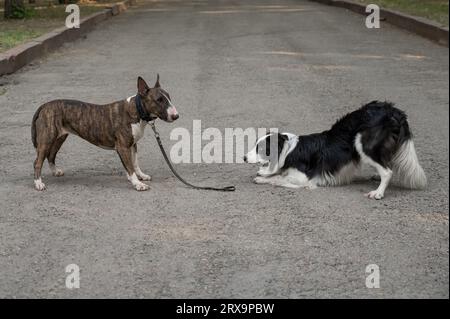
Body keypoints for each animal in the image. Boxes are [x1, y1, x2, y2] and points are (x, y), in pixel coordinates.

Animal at [244, 101, 428, 200]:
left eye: (261, 148)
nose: (244, 158)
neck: (289, 149)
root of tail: (392, 110)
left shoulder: (304, 179)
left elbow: (279, 179)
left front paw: (263, 178)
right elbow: (278, 173)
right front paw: (265, 173)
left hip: (362, 143)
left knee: (388, 171)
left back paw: (378, 193)